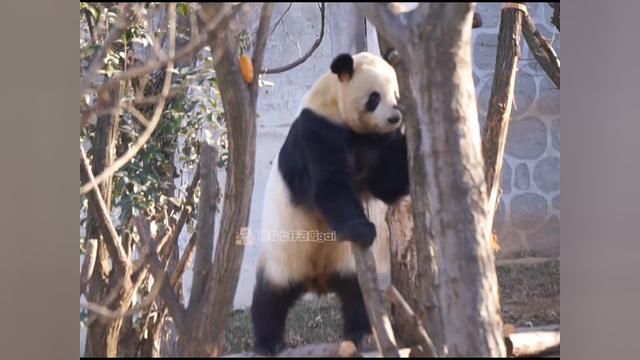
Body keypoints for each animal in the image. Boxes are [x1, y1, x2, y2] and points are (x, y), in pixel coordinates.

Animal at [250, 52, 410, 356]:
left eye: (397, 95)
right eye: (374, 98)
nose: (395, 117)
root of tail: (316, 279)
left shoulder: (374, 142)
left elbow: (387, 184)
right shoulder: (317, 131)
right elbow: (329, 184)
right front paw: (362, 229)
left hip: (349, 266)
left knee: (357, 296)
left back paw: (361, 334)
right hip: (282, 257)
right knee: (270, 299)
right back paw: (267, 342)